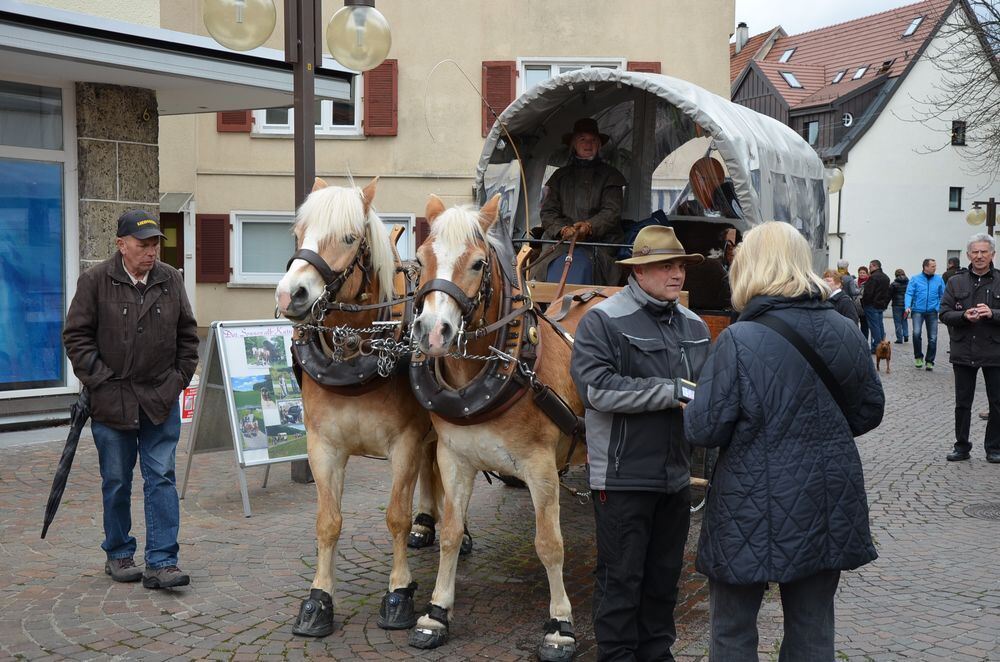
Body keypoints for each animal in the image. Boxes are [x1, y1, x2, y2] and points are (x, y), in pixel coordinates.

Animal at [276, 176, 444, 640]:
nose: (290, 294)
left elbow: (395, 517)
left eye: (349, 238)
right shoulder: (323, 446)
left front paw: (399, 593)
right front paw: (318, 600)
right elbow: (327, 522)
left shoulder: (404, 443)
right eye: (298, 232)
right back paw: (428, 523)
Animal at [406, 195, 592, 660]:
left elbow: (549, 545)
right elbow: (451, 533)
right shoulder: (453, 458)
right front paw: (436, 613)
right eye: (421, 258)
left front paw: (560, 625)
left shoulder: (541, 468)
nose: (432, 332)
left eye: (476, 264)